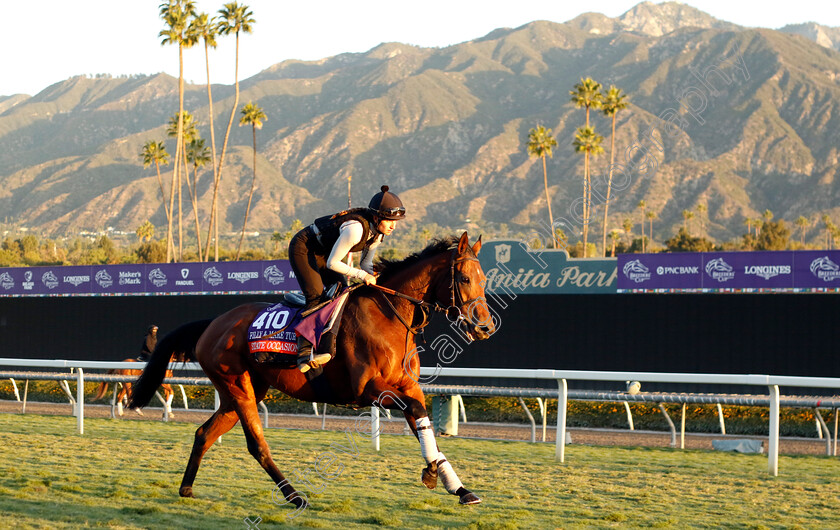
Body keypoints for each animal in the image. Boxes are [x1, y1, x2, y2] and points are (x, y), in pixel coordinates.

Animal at [129, 233, 496, 510]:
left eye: (484, 279)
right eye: (465, 278)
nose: (486, 326)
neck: (389, 315)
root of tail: (213, 323)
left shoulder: (406, 386)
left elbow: (422, 419)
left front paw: (456, 486)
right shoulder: (367, 390)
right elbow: (418, 411)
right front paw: (434, 473)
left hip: (244, 391)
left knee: (204, 433)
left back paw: (187, 488)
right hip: (236, 385)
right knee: (256, 445)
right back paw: (295, 496)